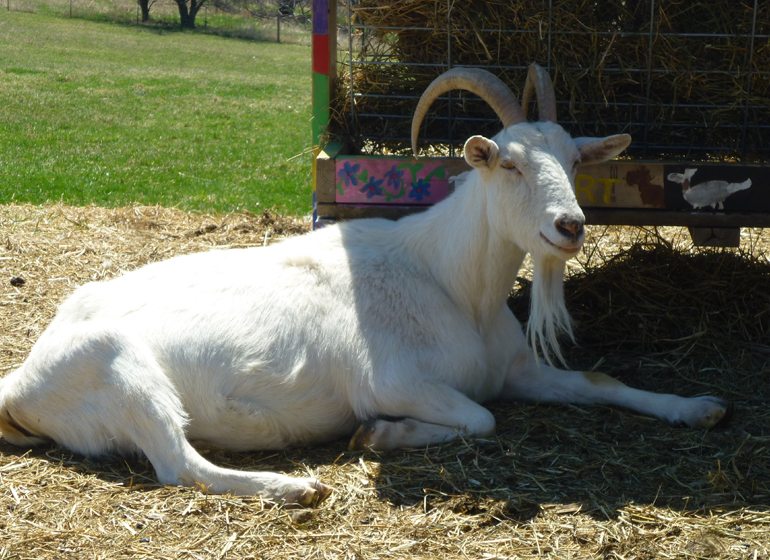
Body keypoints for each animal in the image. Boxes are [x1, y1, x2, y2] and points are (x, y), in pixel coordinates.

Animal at [0, 63, 728, 506]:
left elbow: (599, 382)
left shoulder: (515, 370)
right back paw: (295, 487)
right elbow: (481, 418)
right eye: (510, 163)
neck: (453, 284)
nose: (569, 226)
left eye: (575, 158)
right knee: (180, 464)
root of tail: (22, 380)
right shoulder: (393, 380)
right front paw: (377, 436)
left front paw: (696, 406)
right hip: (119, 370)